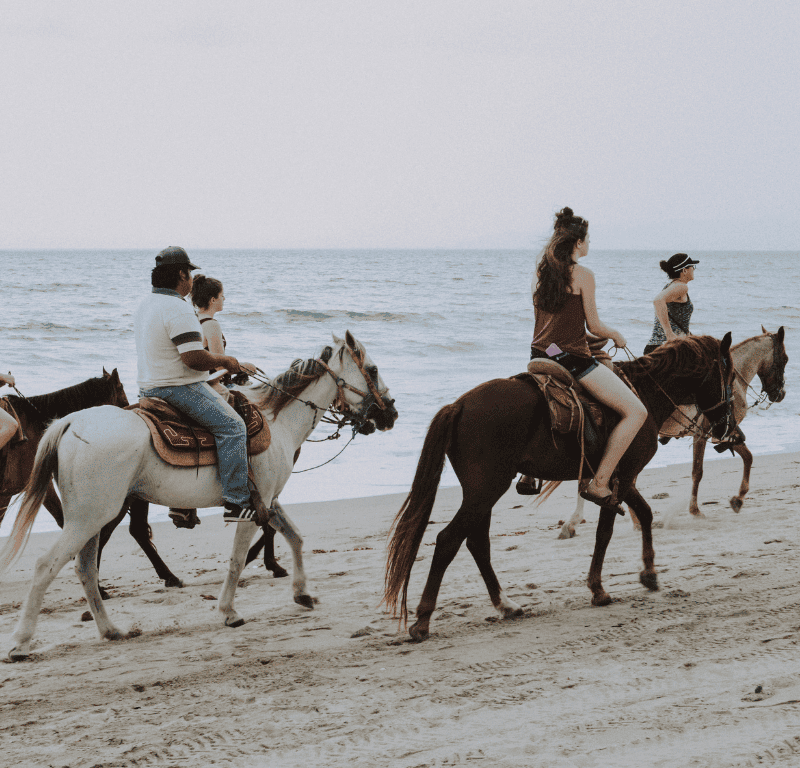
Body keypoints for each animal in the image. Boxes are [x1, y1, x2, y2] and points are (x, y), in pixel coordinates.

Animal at [0, 330, 396, 660]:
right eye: (373, 369)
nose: (390, 413)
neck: (276, 419)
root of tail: (69, 423)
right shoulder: (251, 507)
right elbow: (238, 559)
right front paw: (229, 612)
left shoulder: (268, 500)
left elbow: (295, 538)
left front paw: (301, 592)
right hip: (91, 516)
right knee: (47, 566)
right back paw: (20, 642)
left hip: (92, 518)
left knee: (85, 568)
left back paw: (111, 629)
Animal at [384, 332, 736, 640]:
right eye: (730, 376)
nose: (727, 428)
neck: (645, 395)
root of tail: (459, 405)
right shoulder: (622, 476)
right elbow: (606, 531)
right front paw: (598, 589)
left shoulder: (618, 477)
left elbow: (645, 514)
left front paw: (648, 573)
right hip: (486, 489)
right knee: (449, 540)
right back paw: (423, 620)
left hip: (483, 492)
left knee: (476, 543)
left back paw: (505, 605)